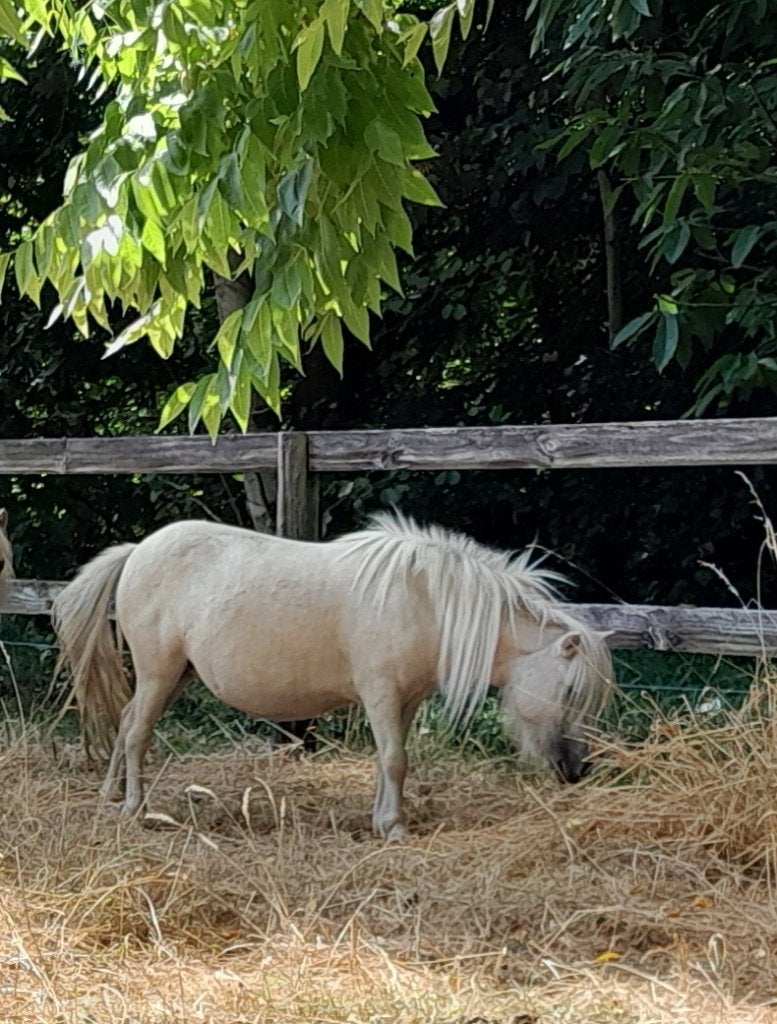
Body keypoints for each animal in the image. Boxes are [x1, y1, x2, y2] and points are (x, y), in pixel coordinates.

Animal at [52, 512, 614, 839]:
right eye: (570, 690)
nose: (576, 769)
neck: (427, 600)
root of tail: (137, 552)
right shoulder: (380, 692)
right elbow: (395, 759)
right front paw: (394, 828)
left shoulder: (404, 700)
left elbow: (390, 761)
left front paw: (383, 819)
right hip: (158, 671)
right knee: (138, 734)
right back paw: (134, 807)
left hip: (175, 676)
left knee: (126, 722)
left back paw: (109, 797)